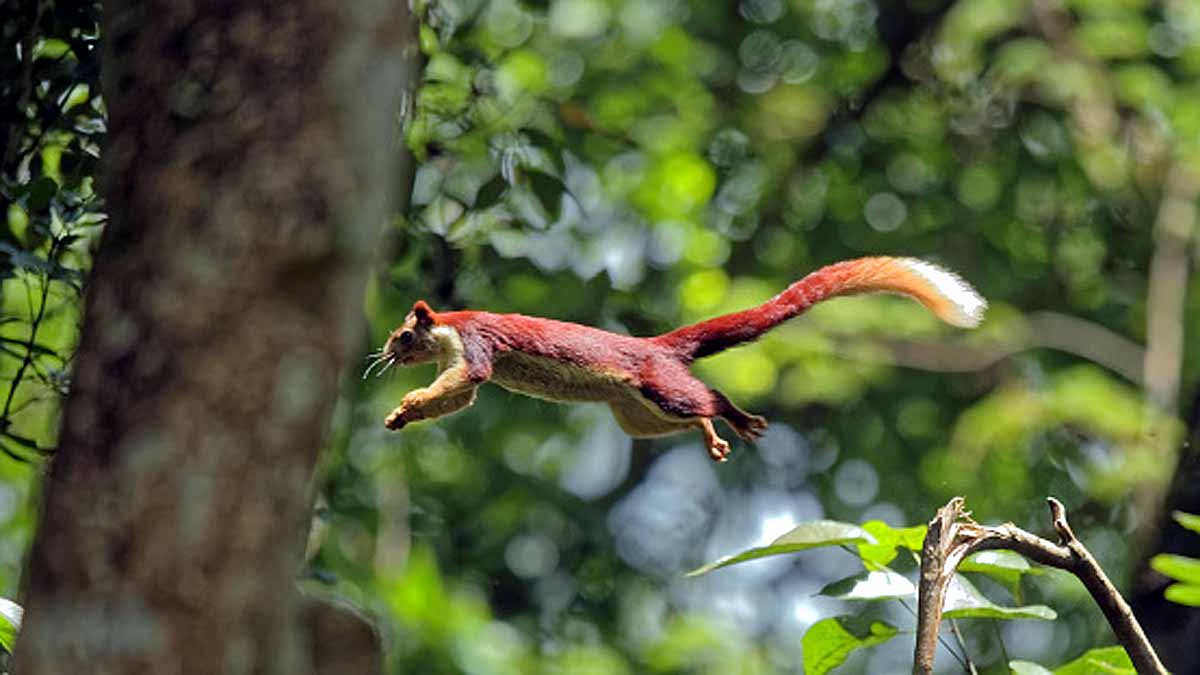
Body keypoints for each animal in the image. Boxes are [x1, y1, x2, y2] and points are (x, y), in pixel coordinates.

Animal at [377, 256, 985, 462]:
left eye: (404, 335)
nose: (384, 355)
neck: (448, 331)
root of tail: (657, 347)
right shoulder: (457, 366)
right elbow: (460, 396)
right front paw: (402, 414)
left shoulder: (474, 343)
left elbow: (473, 376)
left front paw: (404, 402)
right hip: (632, 412)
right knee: (671, 420)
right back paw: (718, 433)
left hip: (658, 384)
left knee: (705, 397)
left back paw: (732, 421)